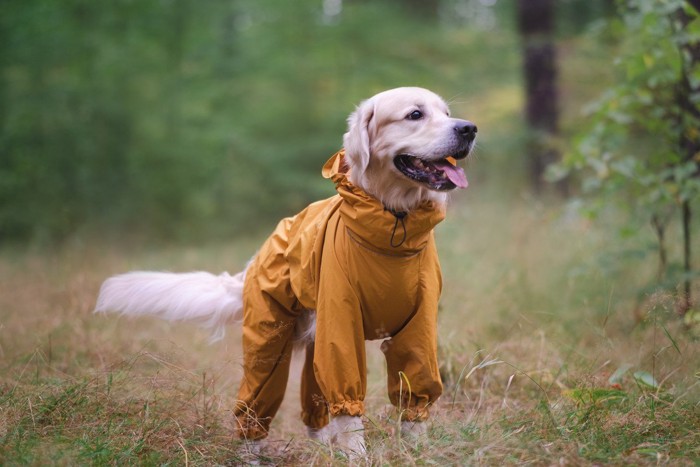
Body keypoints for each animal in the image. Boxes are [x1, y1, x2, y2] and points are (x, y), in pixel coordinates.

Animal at [94, 87, 476, 458]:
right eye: (415, 114)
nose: (469, 129)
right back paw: (251, 454)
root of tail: (260, 253)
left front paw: (418, 452)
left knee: (314, 411)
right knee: (254, 406)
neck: (392, 227)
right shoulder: (342, 325)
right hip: (268, 343)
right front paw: (357, 455)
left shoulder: (417, 328)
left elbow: (413, 398)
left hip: (314, 341)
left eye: (446, 113)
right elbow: (349, 410)